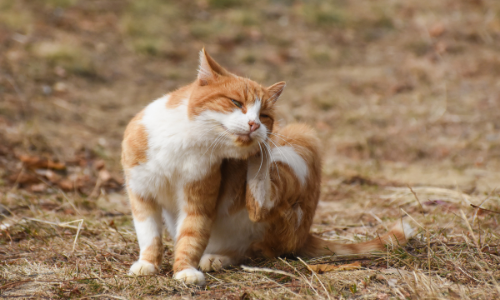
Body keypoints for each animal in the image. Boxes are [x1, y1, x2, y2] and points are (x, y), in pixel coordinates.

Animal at [122, 48, 414, 284]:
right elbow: (149, 235)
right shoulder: (141, 195)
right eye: (236, 103)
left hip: (299, 140)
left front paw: (184, 270)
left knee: (259, 215)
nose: (255, 125)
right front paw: (147, 264)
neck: (185, 143)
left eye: (264, 115)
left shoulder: (198, 201)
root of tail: (305, 235)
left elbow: (191, 235)